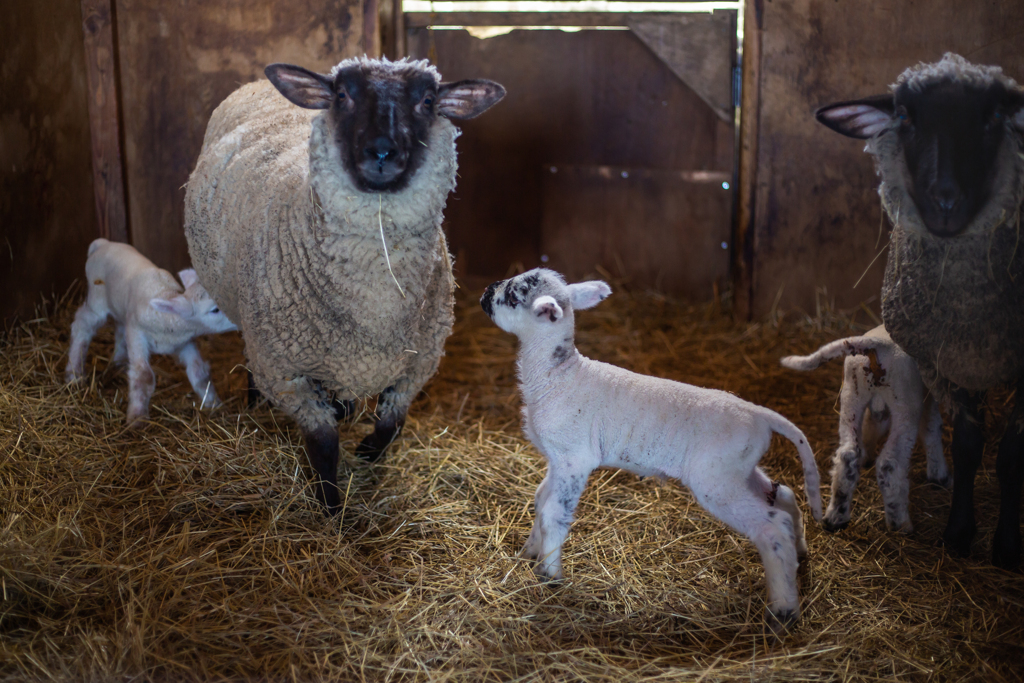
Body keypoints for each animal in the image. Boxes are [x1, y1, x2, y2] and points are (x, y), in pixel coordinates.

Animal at [186, 56, 505, 511]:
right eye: (341, 95)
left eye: (428, 100)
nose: (382, 152)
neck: (375, 301)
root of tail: (255, 85)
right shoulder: (286, 373)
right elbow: (323, 444)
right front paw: (331, 508)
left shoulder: (418, 364)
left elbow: (392, 424)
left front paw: (368, 452)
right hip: (255, 331)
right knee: (251, 363)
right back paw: (256, 404)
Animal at [479, 270, 823, 634]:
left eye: (513, 297)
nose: (486, 292)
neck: (557, 376)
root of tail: (760, 414)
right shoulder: (556, 460)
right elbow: (540, 499)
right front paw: (530, 553)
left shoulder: (575, 458)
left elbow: (553, 513)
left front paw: (550, 575)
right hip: (735, 467)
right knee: (783, 496)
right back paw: (800, 556)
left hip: (715, 480)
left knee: (771, 526)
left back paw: (783, 610)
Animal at [815, 52, 1024, 565]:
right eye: (905, 116)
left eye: (994, 116)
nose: (945, 202)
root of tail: (868, 348)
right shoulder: (945, 372)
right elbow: (974, 446)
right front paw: (979, 536)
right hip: (904, 402)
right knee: (894, 461)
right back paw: (901, 521)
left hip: (851, 400)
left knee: (846, 455)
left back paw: (837, 514)